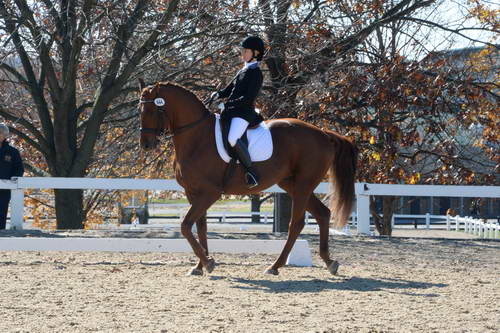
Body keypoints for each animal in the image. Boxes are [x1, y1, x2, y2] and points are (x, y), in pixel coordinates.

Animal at [139, 81, 358, 274]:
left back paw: (275, 266)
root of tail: (323, 133)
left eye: (152, 111)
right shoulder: (193, 192)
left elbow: (185, 226)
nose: (146, 144)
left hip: (304, 185)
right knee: (322, 214)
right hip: (293, 185)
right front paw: (201, 265)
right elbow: (200, 227)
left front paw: (208, 263)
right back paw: (329, 262)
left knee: (296, 224)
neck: (196, 136)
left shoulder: (210, 193)